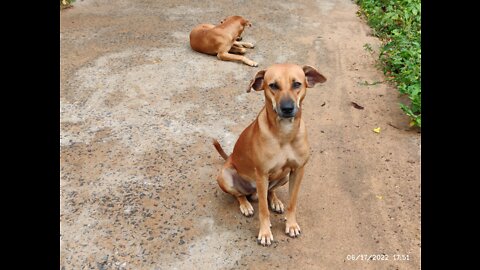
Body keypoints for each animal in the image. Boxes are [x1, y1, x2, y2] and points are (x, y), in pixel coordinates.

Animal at [213, 64, 326, 246]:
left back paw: (275, 201)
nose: (287, 108)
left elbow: (292, 202)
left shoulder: (298, 171)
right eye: (273, 85)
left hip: (284, 176)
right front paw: (265, 233)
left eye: (297, 84)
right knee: (239, 194)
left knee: (269, 191)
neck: (285, 134)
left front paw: (291, 224)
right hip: (225, 175)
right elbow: (263, 210)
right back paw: (245, 205)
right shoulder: (261, 174)